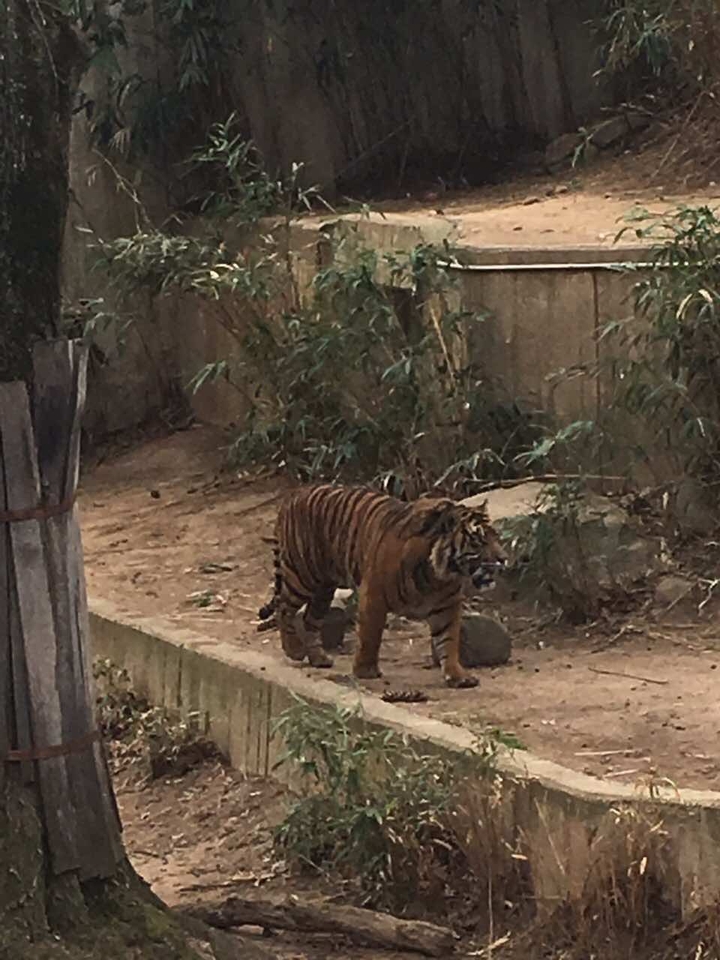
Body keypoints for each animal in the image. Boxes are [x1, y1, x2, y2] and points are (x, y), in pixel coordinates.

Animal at [257, 484, 507, 688]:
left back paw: (319, 658)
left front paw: (457, 676)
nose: (504, 559)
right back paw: (294, 649)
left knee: (310, 619)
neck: (439, 573)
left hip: (324, 589)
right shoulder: (374, 595)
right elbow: (371, 634)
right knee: (284, 608)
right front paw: (365, 671)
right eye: (479, 541)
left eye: (496, 537)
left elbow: (449, 640)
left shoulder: (447, 605)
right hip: (303, 576)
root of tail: (292, 496)